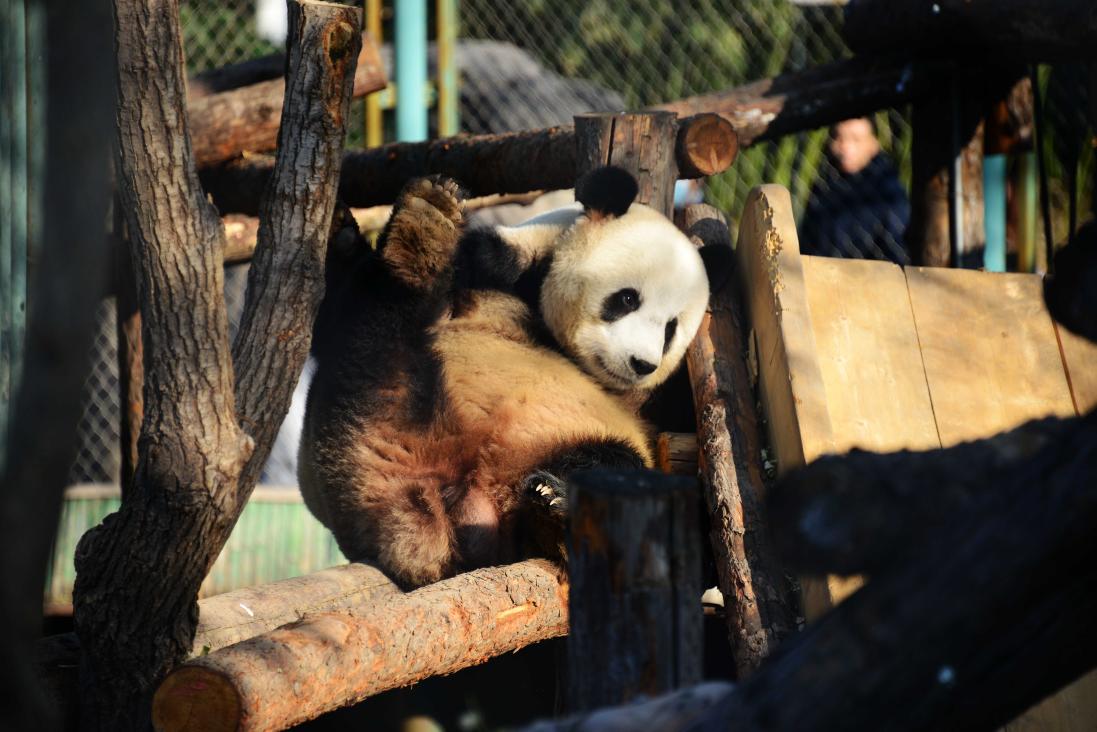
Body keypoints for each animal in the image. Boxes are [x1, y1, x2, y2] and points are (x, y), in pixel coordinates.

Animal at [299, 167, 725, 588]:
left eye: (671, 329)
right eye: (627, 299)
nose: (642, 364)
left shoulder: (662, 398)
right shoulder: (494, 264)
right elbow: (325, 323)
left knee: (616, 467)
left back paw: (554, 505)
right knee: (373, 334)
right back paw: (421, 234)